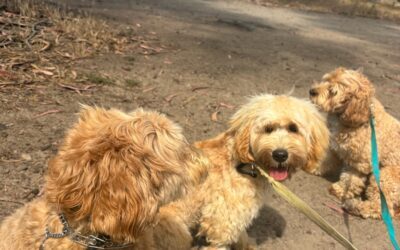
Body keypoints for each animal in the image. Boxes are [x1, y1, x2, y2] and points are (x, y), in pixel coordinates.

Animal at [155, 94, 330, 250]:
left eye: (293, 128)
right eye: (268, 129)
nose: (280, 154)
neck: (247, 165)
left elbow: (241, 234)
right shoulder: (221, 223)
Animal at [310, 67, 400, 219]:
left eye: (332, 91)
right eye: (325, 80)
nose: (312, 91)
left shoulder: (359, 163)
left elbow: (350, 179)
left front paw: (340, 190)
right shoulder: (334, 147)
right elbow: (326, 160)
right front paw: (313, 166)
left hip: (386, 176)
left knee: (380, 208)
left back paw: (357, 206)